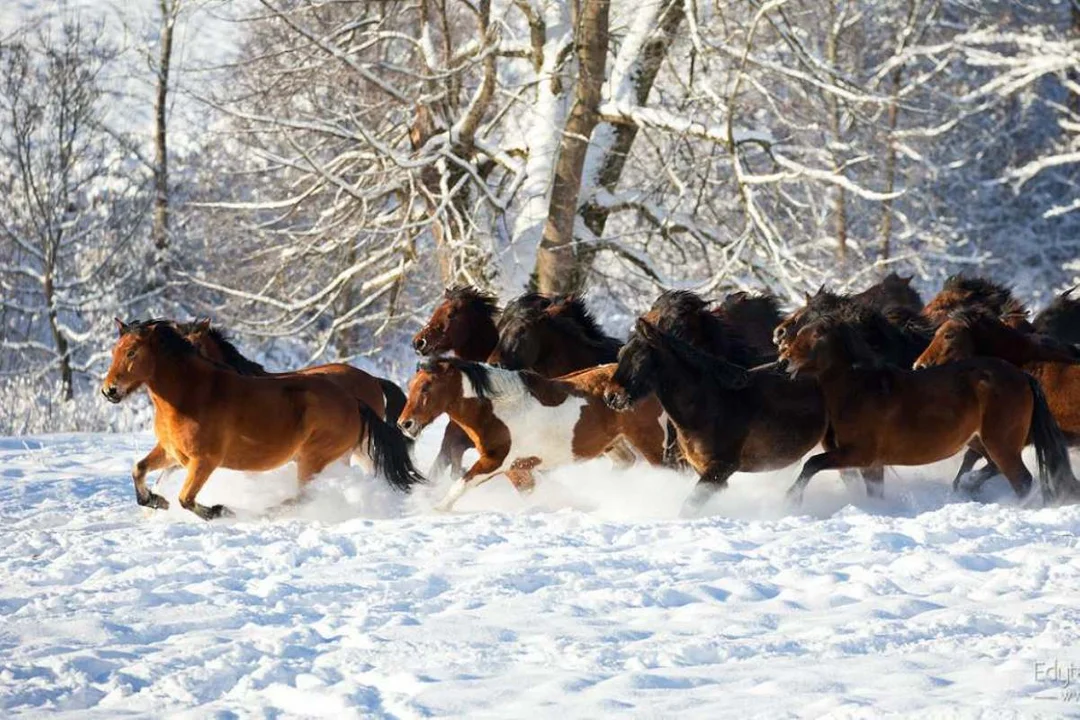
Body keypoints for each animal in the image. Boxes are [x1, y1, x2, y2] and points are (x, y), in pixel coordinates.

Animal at [397, 358, 665, 509]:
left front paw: (437, 508)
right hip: (613, 444)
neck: (496, 408)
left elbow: (461, 483)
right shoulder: (517, 469)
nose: (404, 424)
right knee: (626, 462)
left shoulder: (495, 461)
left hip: (650, 440)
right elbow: (530, 493)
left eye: (426, 386)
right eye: (411, 386)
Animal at [600, 319, 825, 511]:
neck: (711, 406)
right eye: (620, 355)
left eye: (639, 358)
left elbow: (689, 507)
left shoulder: (721, 468)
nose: (611, 397)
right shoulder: (705, 470)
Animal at [777, 317, 1071, 505]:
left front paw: (792, 499)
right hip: (982, 441)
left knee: (1021, 480)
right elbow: (873, 492)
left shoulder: (859, 454)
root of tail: (1022, 376)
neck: (860, 389)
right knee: (992, 468)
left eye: (818, 335)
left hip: (1001, 443)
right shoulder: (871, 464)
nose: (783, 361)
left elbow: (812, 463)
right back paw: (967, 486)